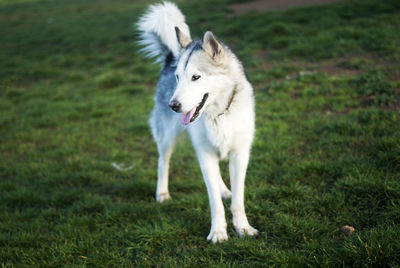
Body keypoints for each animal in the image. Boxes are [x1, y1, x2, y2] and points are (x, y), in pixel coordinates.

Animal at [136, 1, 258, 243]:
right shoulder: (205, 153)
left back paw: (224, 189)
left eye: (196, 77)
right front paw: (218, 232)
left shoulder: (239, 154)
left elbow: (238, 200)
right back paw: (162, 193)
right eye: (178, 77)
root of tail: (171, 57)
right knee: (163, 161)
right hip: (167, 138)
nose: (173, 105)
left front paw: (242, 227)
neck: (218, 115)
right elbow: (214, 202)